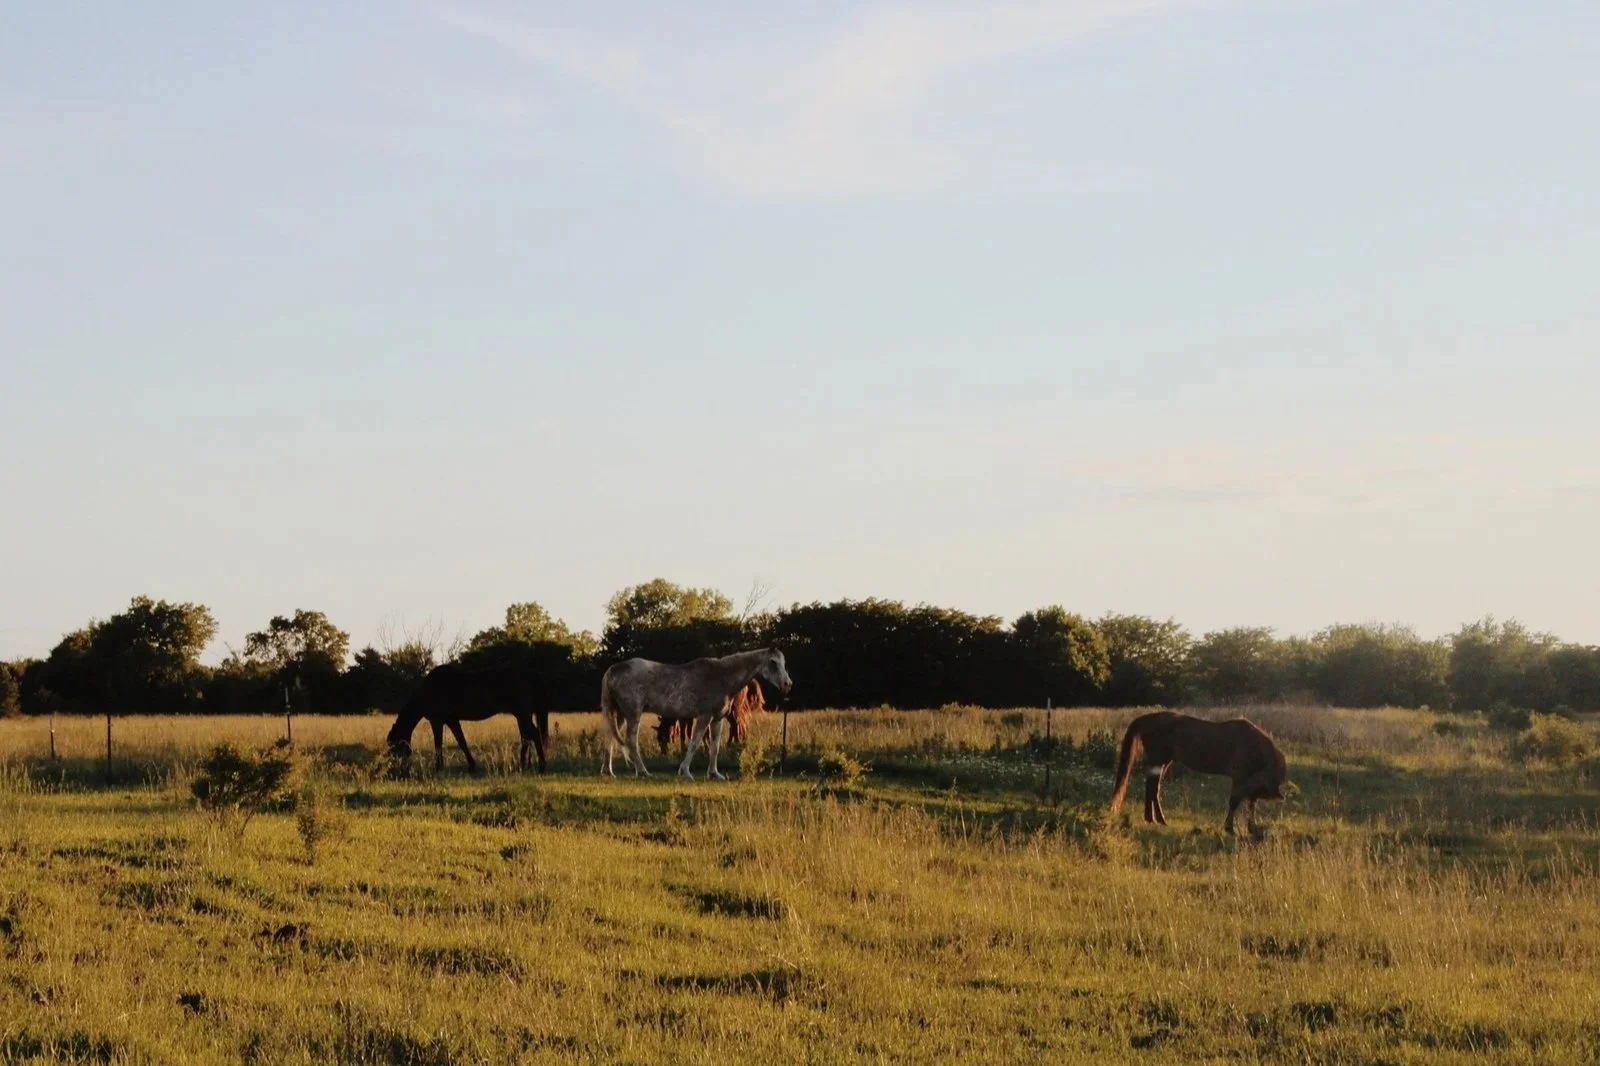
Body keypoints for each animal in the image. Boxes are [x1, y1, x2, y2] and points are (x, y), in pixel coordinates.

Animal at [386, 663, 550, 774]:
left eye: (394, 746)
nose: (396, 770)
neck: (429, 690)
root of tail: (527, 674)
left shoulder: (437, 721)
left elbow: (438, 744)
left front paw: (438, 768)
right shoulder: (451, 720)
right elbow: (462, 741)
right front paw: (471, 765)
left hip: (521, 713)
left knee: (533, 734)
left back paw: (540, 766)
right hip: (521, 714)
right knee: (526, 737)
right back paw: (522, 765)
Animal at [601, 648, 792, 780]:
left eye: (783, 663)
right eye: (773, 662)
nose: (787, 684)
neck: (721, 677)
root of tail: (613, 669)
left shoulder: (717, 719)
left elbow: (714, 747)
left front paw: (714, 774)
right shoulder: (704, 717)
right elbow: (694, 743)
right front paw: (685, 772)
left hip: (619, 714)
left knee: (610, 739)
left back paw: (608, 772)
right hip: (633, 715)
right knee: (631, 742)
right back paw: (643, 771)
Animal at [1108, 711, 1288, 835]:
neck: (1253, 745)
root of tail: (1148, 719)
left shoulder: (1248, 781)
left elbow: (1250, 804)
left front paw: (1251, 827)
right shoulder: (1239, 777)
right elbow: (1234, 802)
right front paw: (1230, 828)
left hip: (1163, 761)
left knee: (1153, 787)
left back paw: (1154, 819)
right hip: (1158, 759)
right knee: (1152, 787)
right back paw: (1157, 819)